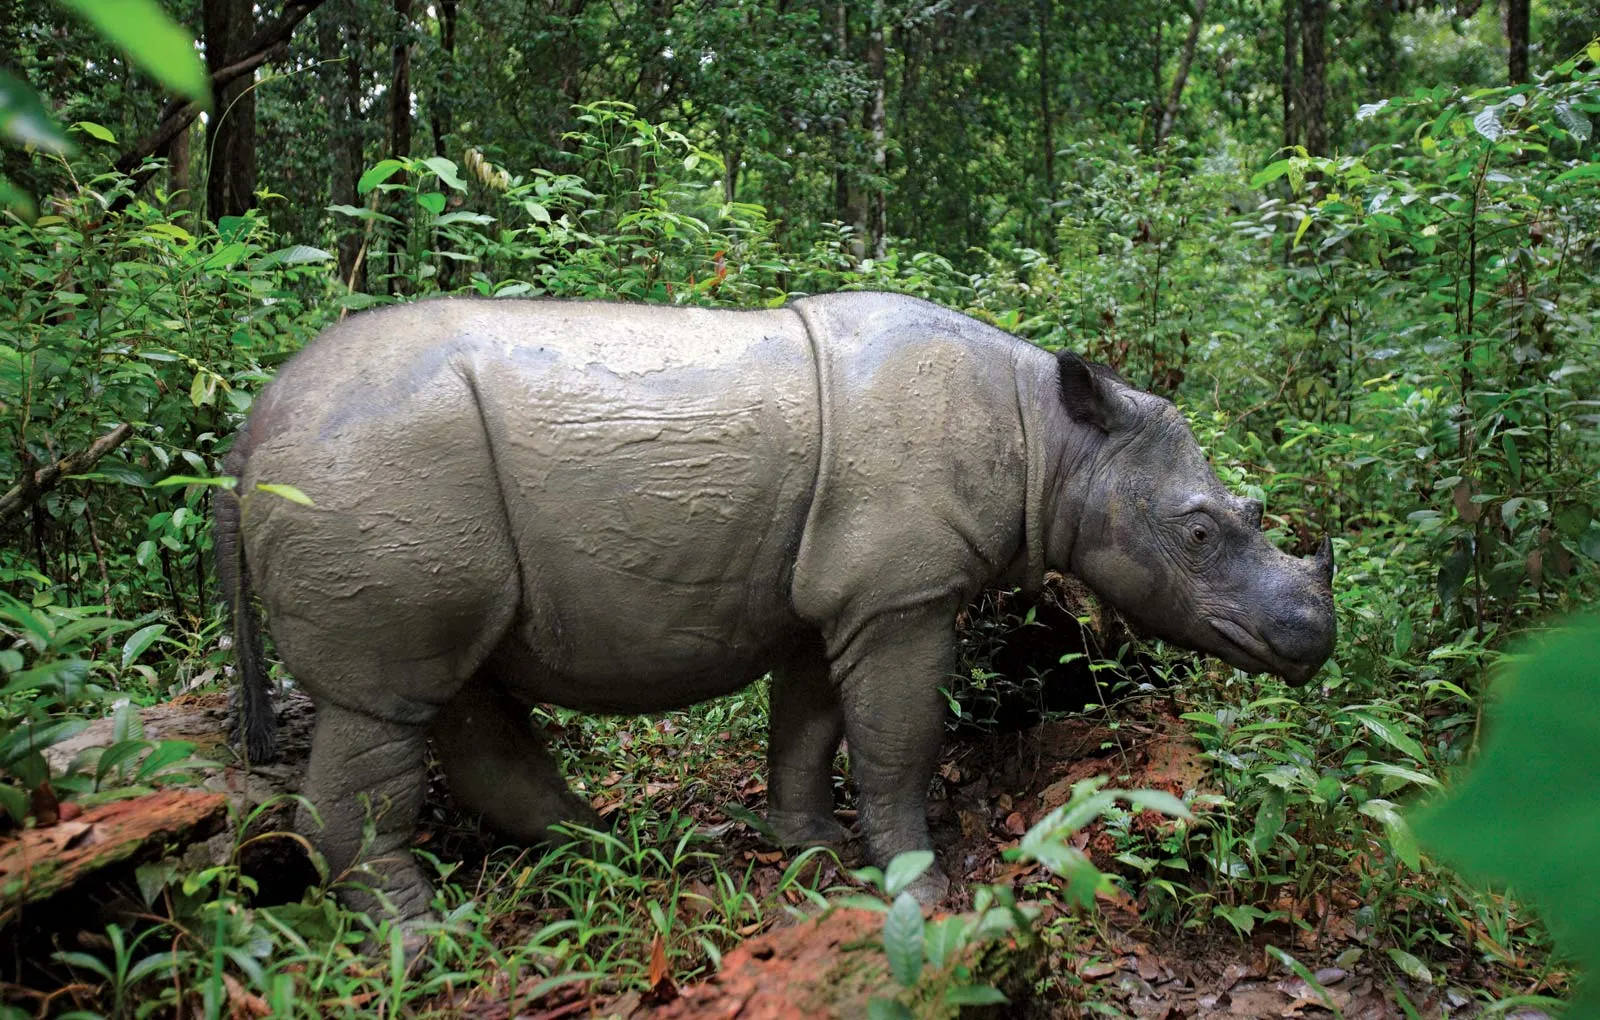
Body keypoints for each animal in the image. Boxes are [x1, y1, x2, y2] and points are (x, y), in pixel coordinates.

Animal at [215, 292, 1335, 920]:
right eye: (1200, 532)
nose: (1313, 641)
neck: (1055, 441)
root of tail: (249, 428)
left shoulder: (842, 591)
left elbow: (809, 721)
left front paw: (807, 846)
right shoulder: (903, 594)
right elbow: (897, 736)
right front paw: (920, 884)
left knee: (452, 689)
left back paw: (604, 850)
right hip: (374, 465)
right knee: (386, 702)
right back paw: (418, 931)